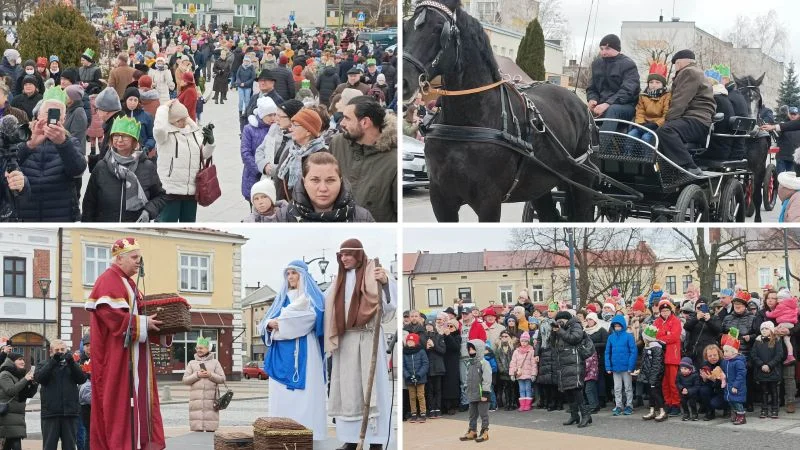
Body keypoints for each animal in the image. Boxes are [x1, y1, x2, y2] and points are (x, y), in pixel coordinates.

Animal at [404, 0, 596, 221]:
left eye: (438, 29)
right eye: (406, 27)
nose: (404, 81)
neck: (467, 124)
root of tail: (581, 104)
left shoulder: (489, 202)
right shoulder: (441, 199)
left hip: (582, 181)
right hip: (540, 185)